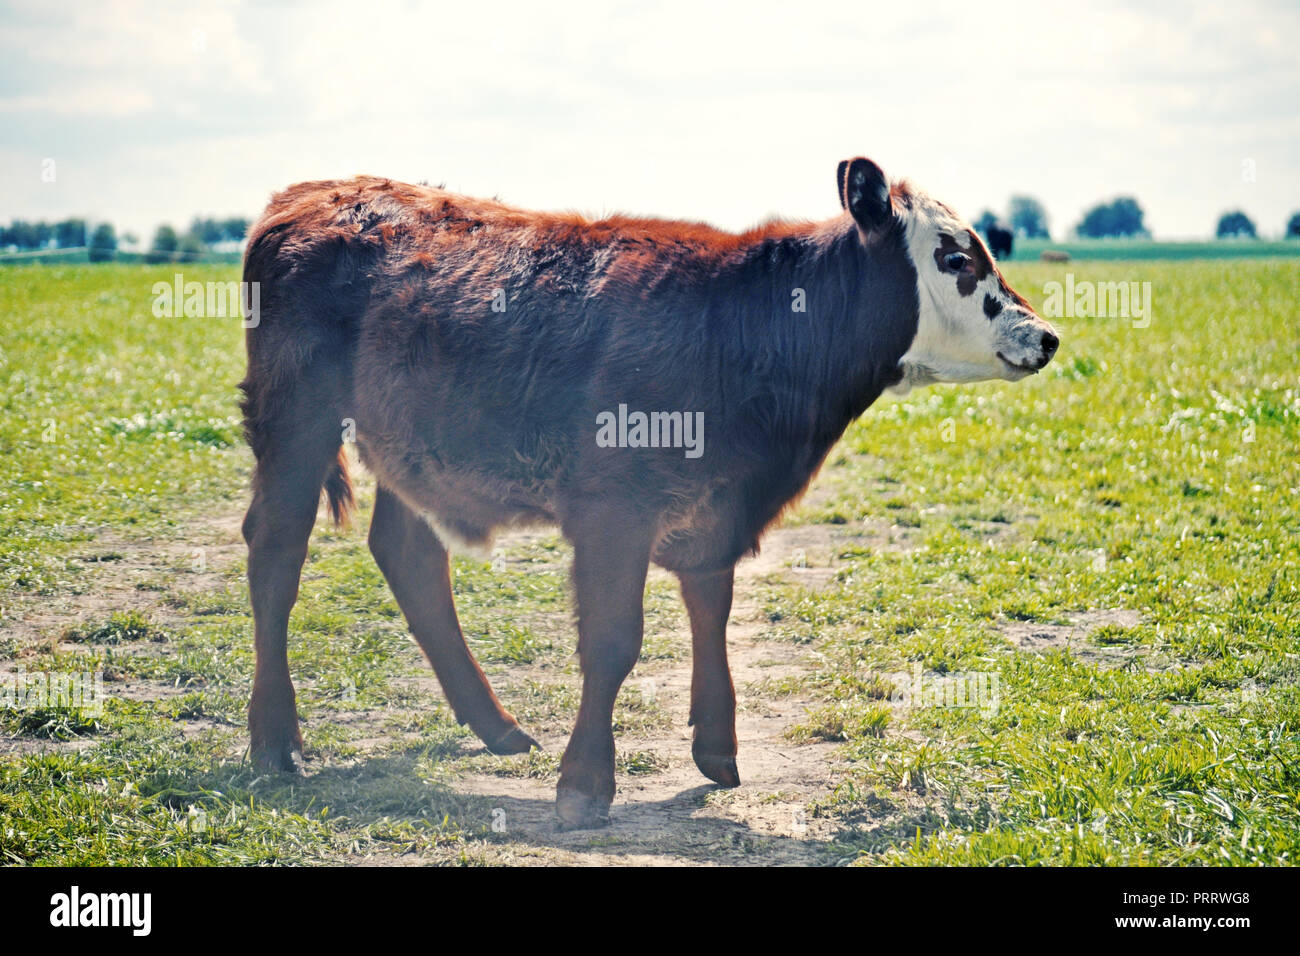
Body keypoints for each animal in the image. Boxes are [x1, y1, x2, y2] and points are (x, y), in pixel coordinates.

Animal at [239, 157, 1060, 832]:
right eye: (955, 258)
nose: (1047, 336)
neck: (742, 328)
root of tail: (305, 195)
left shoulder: (717, 511)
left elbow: (710, 614)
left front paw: (717, 746)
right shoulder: (613, 516)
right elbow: (613, 642)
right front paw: (584, 784)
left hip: (407, 443)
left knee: (408, 556)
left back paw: (496, 726)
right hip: (296, 421)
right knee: (275, 556)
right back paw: (276, 742)